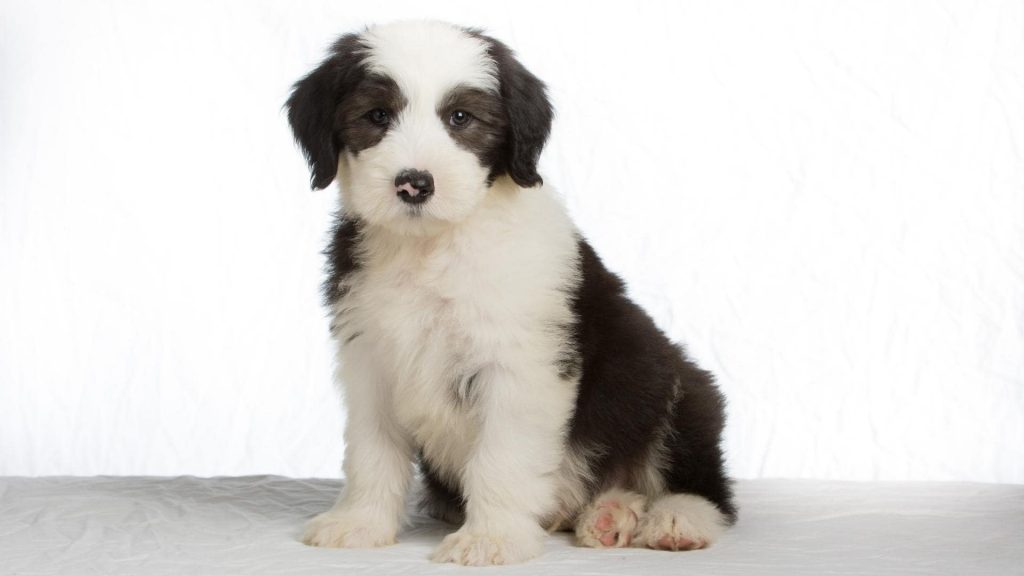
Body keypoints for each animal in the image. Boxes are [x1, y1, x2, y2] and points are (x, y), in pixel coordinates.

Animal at [288, 20, 737, 561]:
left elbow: (501, 458)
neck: (434, 247)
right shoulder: (371, 358)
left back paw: (672, 519)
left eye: (460, 117)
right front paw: (360, 523)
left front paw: (490, 538)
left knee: (706, 487)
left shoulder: (520, 365)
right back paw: (609, 514)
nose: (414, 184)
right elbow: (372, 451)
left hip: (677, 388)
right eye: (377, 115)